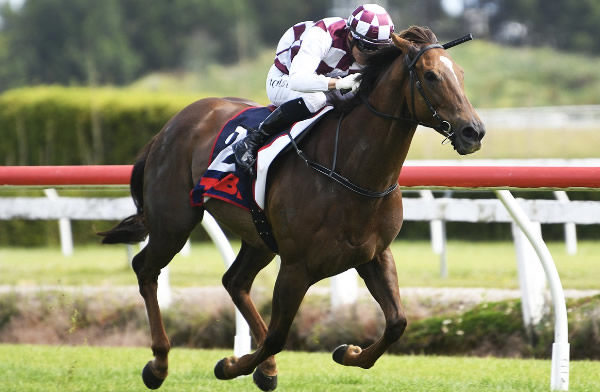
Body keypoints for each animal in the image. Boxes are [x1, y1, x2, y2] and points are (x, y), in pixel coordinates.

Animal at [101, 26, 486, 390]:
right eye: (431, 75)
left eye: (461, 73)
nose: (474, 131)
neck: (351, 171)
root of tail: (168, 126)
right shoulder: (296, 266)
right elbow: (276, 336)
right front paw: (229, 366)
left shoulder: (374, 255)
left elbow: (397, 323)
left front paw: (348, 352)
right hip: (174, 223)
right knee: (146, 269)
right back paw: (159, 364)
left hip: (258, 237)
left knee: (234, 281)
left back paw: (264, 368)